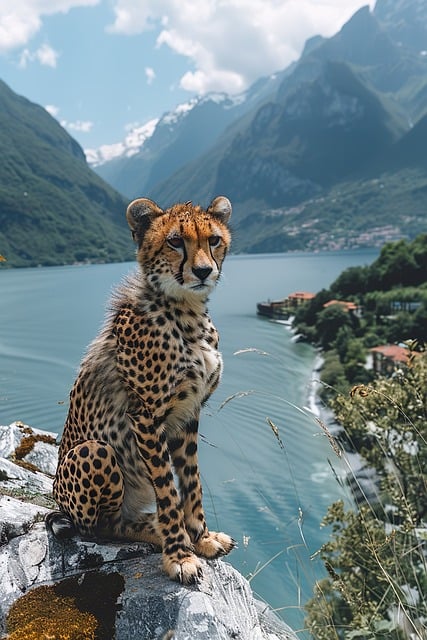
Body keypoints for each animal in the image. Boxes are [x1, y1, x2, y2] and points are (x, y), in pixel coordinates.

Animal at [51, 196, 237, 584]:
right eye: (175, 241)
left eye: (213, 240)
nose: (202, 272)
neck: (187, 313)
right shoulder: (146, 416)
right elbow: (167, 488)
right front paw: (180, 553)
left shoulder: (188, 414)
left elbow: (191, 481)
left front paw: (202, 537)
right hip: (94, 451)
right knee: (102, 527)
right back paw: (154, 529)